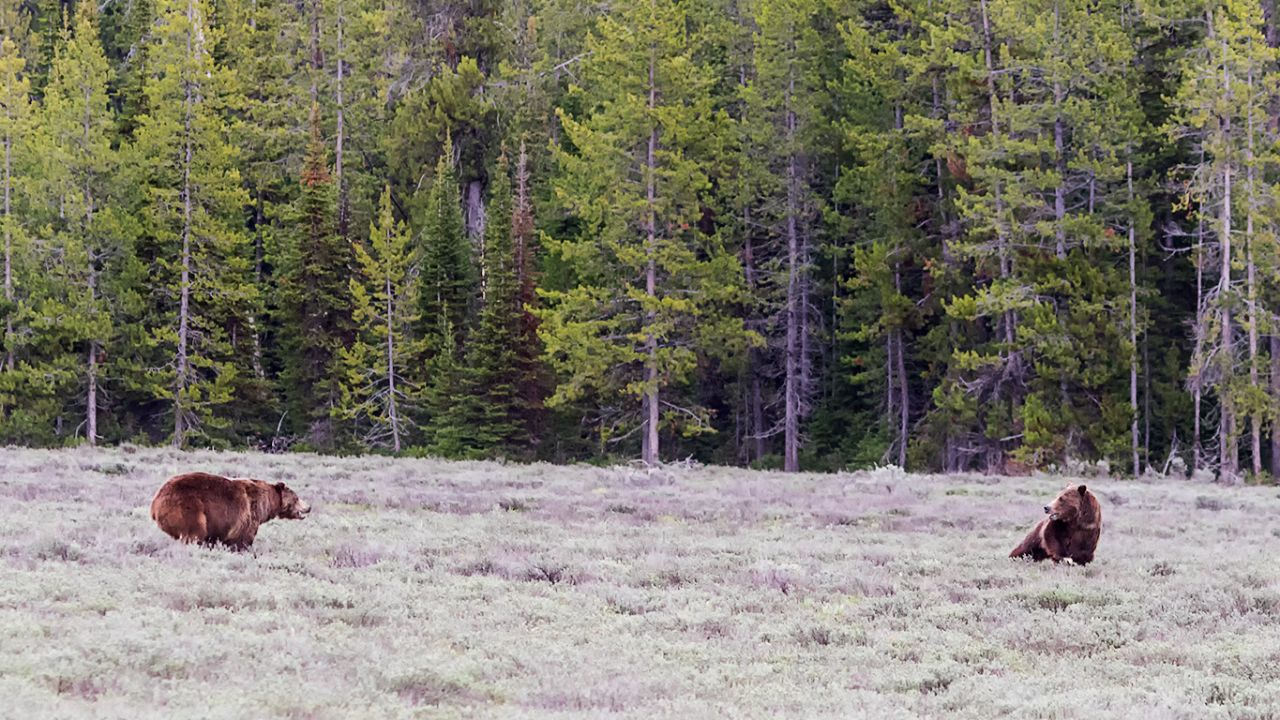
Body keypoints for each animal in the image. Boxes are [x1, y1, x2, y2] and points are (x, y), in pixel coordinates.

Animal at [150, 472, 310, 551]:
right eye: (297, 498)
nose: (309, 507)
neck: (267, 502)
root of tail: (155, 502)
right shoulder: (248, 513)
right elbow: (243, 538)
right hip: (189, 508)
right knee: (195, 532)